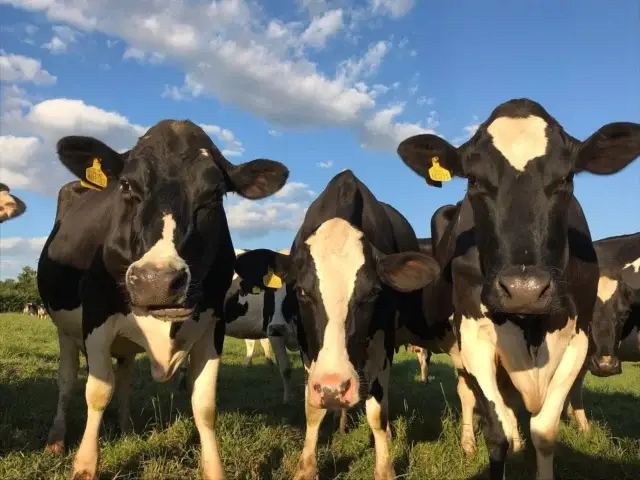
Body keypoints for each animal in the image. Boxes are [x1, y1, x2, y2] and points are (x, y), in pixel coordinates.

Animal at [37, 119, 289, 480]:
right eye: (126, 185)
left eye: (215, 194)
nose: (156, 281)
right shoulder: (96, 319)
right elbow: (97, 392)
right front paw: (85, 467)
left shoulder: (213, 326)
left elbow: (204, 404)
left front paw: (214, 469)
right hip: (64, 328)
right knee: (68, 380)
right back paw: (56, 438)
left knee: (124, 377)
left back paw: (127, 429)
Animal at [234, 170, 440, 480]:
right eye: (301, 291)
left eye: (373, 293)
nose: (334, 387)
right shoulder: (308, 348)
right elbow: (311, 409)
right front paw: (307, 468)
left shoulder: (383, 345)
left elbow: (377, 413)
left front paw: (385, 468)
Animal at [397, 97, 640, 480]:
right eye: (474, 180)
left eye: (567, 178)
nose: (524, 289)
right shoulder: (473, 337)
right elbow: (497, 434)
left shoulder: (578, 338)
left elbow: (544, 432)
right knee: (468, 393)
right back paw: (469, 443)